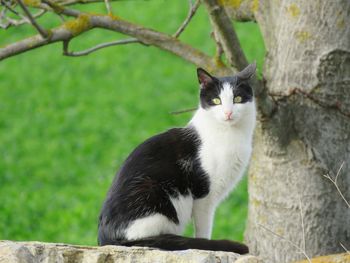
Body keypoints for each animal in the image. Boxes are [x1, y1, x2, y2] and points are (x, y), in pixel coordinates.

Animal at [97, 63, 256, 255]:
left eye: (238, 99)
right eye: (216, 100)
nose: (228, 113)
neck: (229, 133)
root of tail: (107, 239)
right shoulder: (203, 195)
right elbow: (203, 230)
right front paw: (206, 245)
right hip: (153, 194)